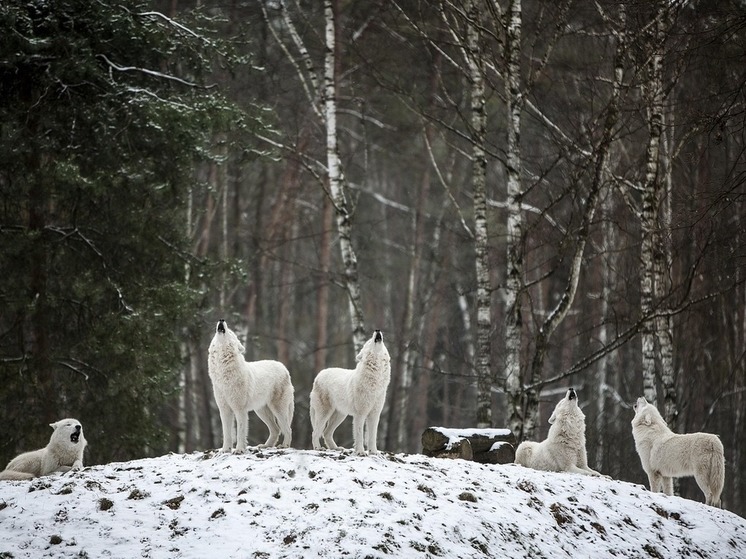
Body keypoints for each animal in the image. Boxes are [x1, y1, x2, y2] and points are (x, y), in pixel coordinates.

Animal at [208, 318, 294, 452]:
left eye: (231, 332)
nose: (221, 319)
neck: (223, 374)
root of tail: (284, 368)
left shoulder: (240, 409)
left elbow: (240, 431)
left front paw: (239, 450)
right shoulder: (224, 409)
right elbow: (226, 433)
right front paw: (225, 450)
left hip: (278, 409)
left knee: (287, 429)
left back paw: (284, 446)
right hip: (261, 411)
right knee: (276, 429)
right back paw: (266, 445)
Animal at [308, 330, 390, 458]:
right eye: (369, 342)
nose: (377, 330)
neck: (376, 380)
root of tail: (318, 375)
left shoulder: (375, 414)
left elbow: (372, 436)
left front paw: (374, 452)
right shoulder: (360, 414)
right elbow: (360, 434)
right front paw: (360, 452)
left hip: (340, 415)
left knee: (326, 433)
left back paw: (336, 448)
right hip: (324, 414)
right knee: (315, 432)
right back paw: (318, 448)